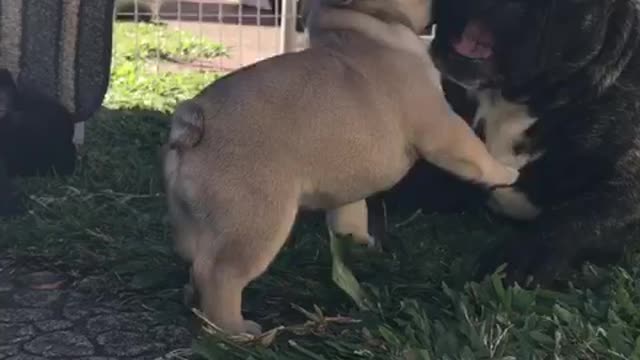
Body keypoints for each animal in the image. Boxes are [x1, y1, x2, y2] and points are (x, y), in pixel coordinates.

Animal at [162, 0, 516, 334]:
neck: (365, 24)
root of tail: (196, 121)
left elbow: (350, 214)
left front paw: (360, 243)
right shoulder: (441, 127)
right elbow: (475, 152)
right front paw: (506, 173)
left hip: (195, 222)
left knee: (196, 261)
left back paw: (193, 299)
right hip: (256, 222)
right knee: (220, 274)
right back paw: (234, 331)